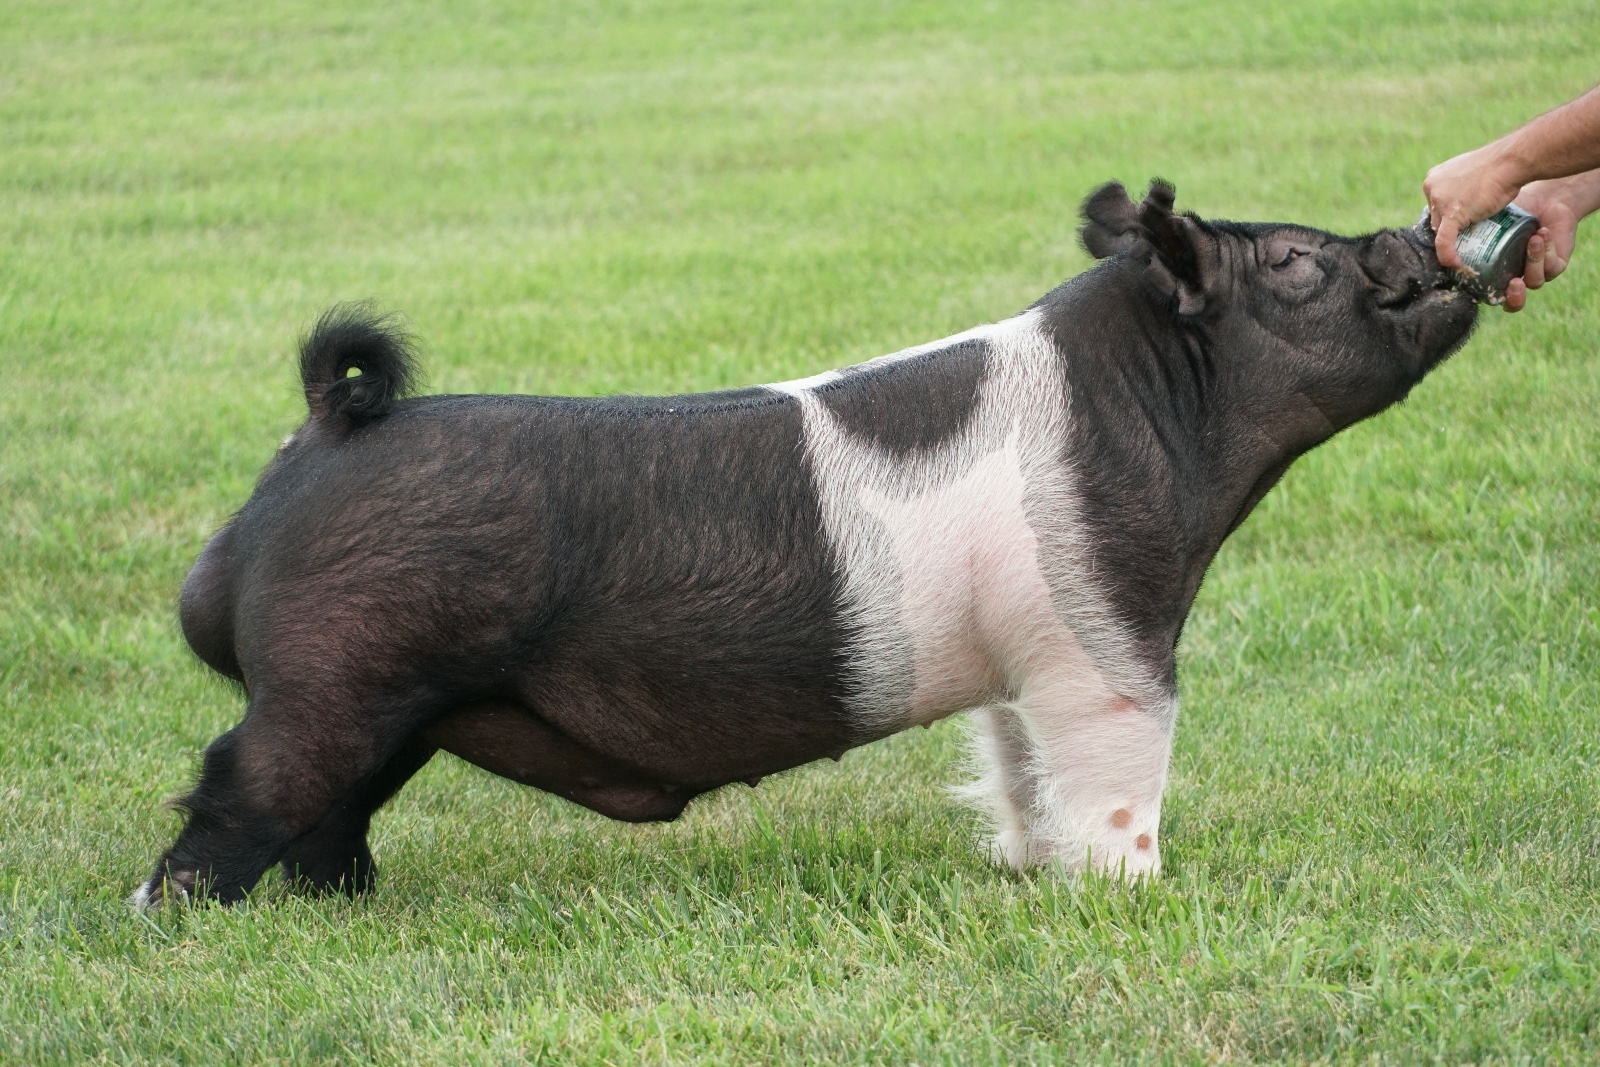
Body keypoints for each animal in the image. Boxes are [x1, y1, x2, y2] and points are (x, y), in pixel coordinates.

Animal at [134, 180, 1477, 907]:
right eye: (1295, 262)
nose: (1417, 235)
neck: (1158, 407)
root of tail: (327, 428)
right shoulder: (1106, 640)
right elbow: (1120, 779)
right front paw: (1136, 895)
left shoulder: (1020, 662)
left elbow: (1017, 768)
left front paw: (1026, 871)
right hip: (331, 677)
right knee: (237, 786)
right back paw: (172, 921)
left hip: (391, 704)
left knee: (330, 813)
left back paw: (350, 905)